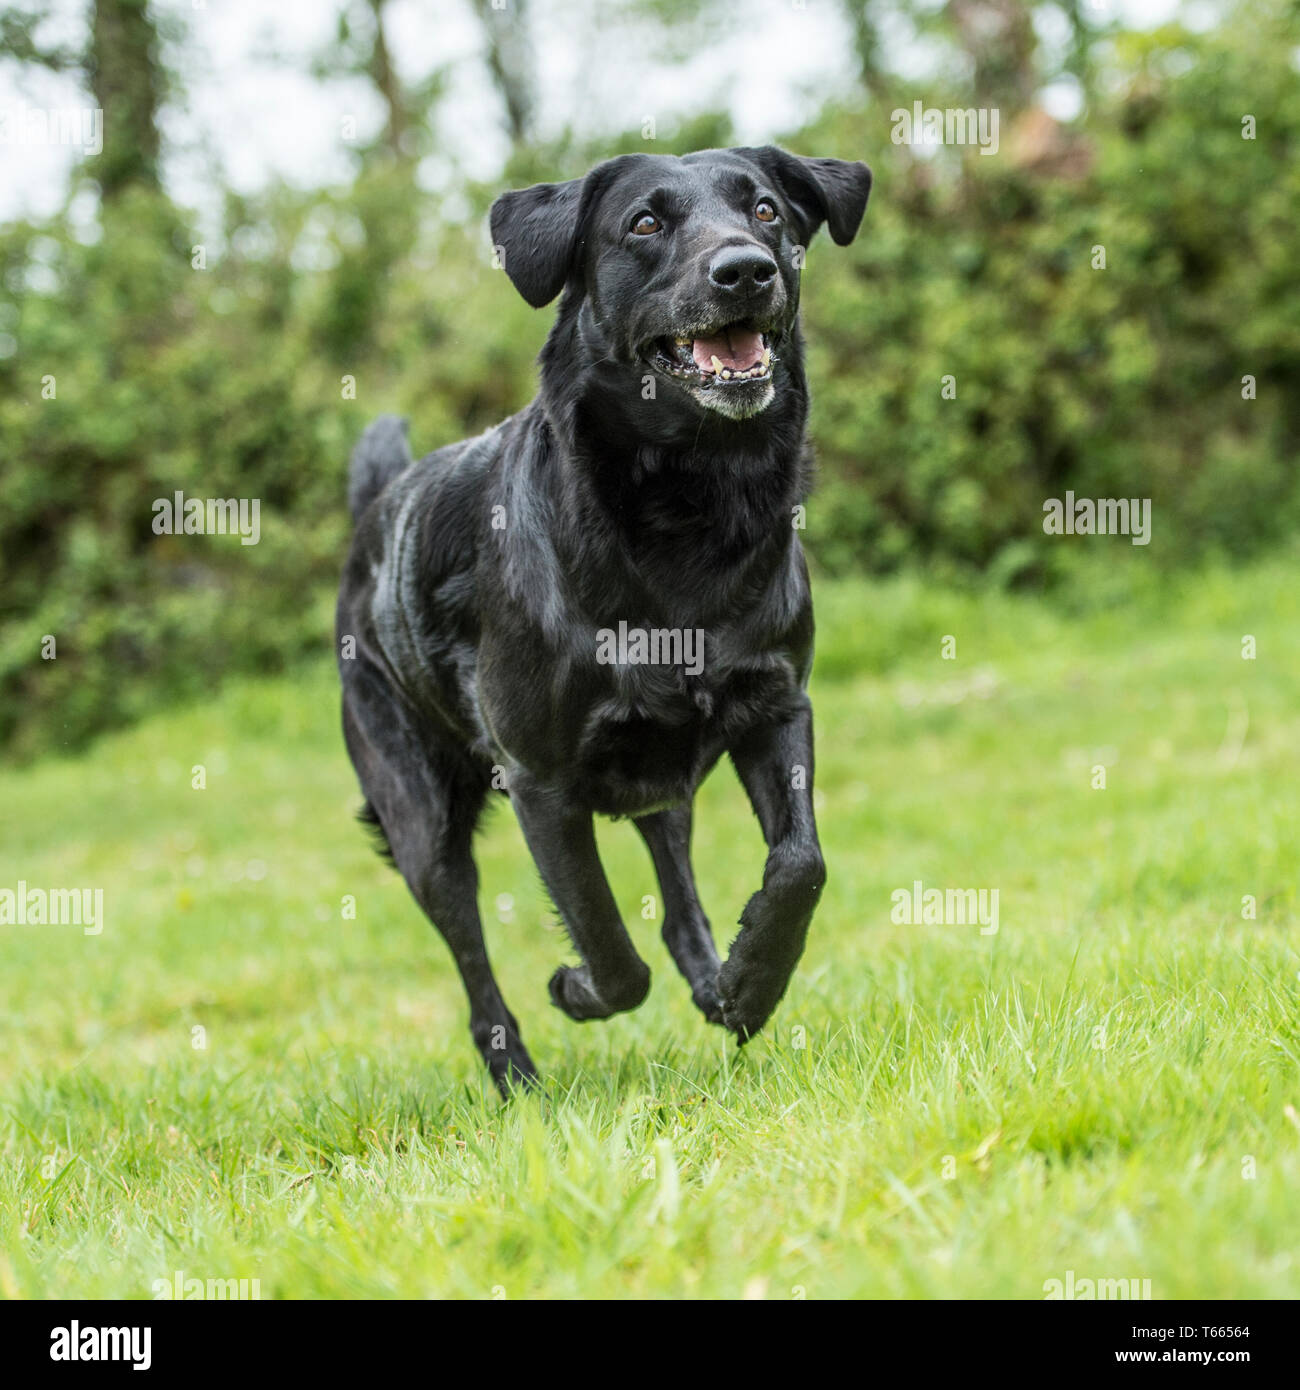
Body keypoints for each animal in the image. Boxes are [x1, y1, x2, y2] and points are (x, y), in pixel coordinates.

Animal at [335, 143, 873, 1095]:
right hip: (420, 823)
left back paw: (717, 983)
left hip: (665, 786)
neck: (690, 508)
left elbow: (801, 865)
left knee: (679, 899)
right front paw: (579, 990)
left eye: (766, 211)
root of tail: (377, 509)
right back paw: (515, 1076)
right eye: (645, 223)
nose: (746, 270)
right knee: (472, 956)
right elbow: (607, 942)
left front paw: (755, 980)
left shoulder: (778, 706)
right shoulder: (541, 784)